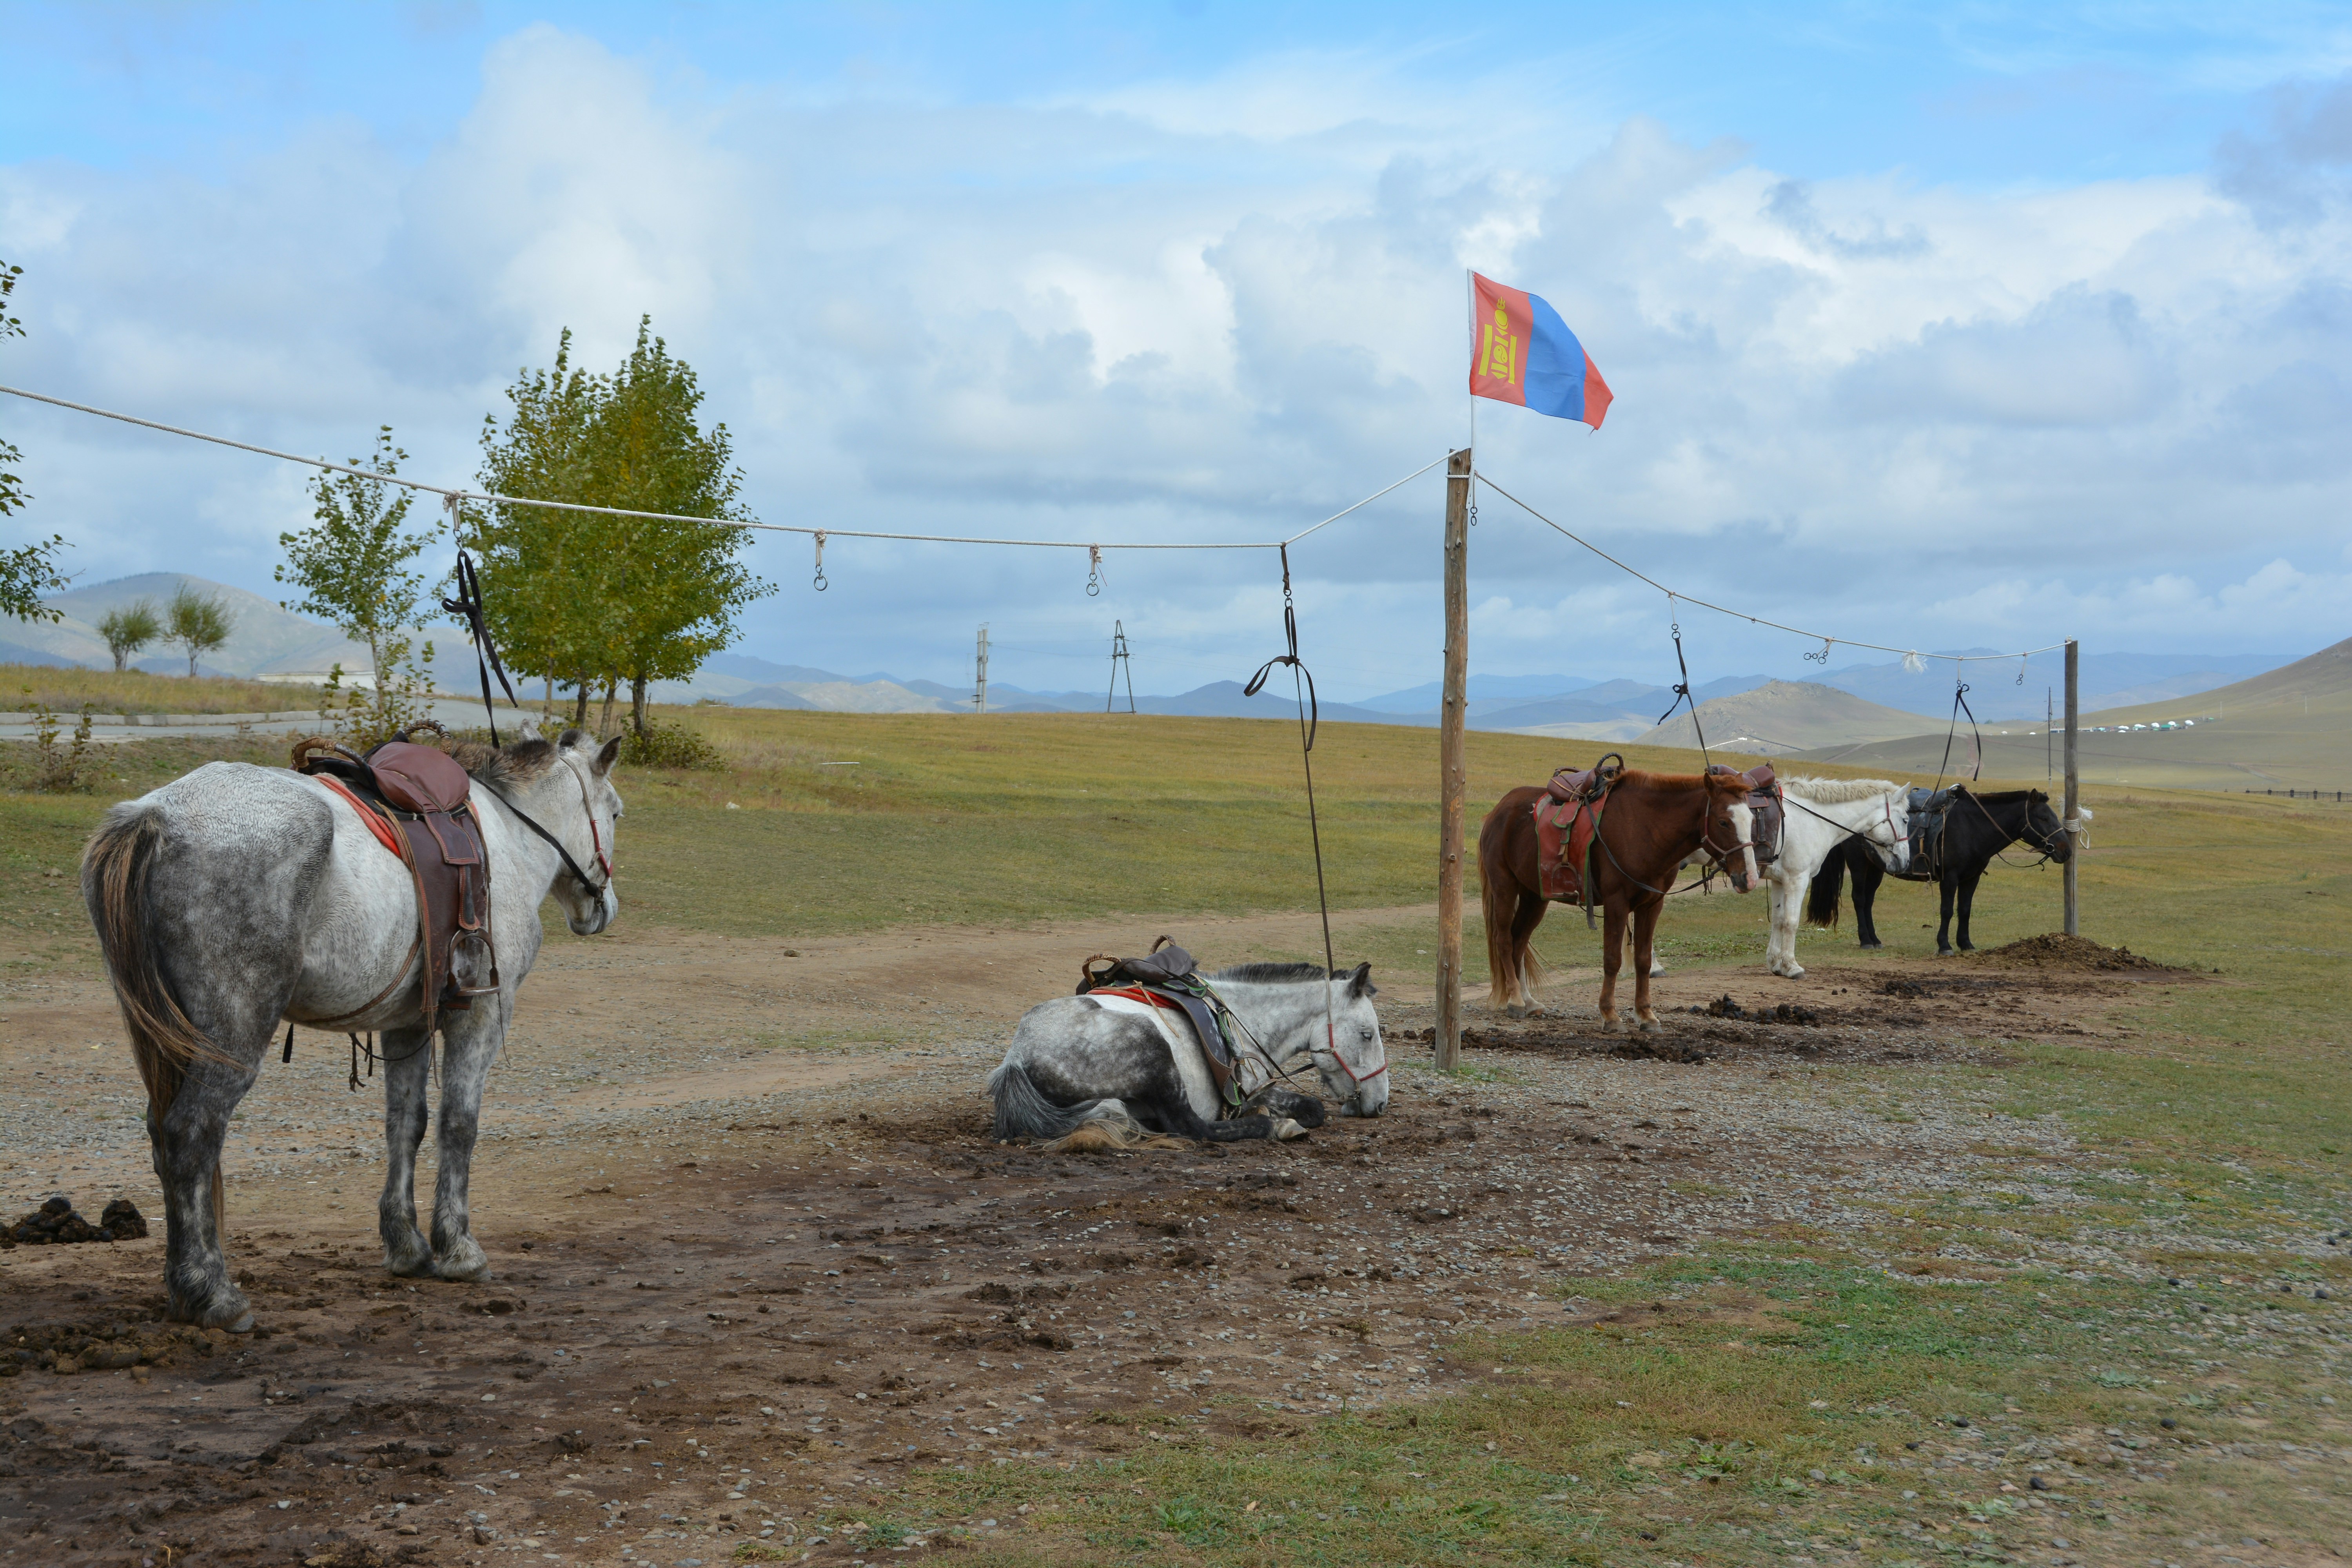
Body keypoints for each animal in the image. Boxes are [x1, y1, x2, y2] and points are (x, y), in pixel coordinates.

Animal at [83, 724, 621, 1326]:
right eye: (615, 813)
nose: (603, 909)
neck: (509, 833)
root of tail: (157, 815)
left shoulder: (408, 1025)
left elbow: (406, 1125)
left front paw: (407, 1244)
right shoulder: (484, 1014)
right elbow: (459, 1125)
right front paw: (459, 1248)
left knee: (162, 1136)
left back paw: (184, 1288)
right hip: (234, 1033)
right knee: (190, 1134)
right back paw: (212, 1291)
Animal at [983, 959, 1383, 1152]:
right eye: (1367, 1034)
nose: (1379, 1105)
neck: (1242, 1015)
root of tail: (1017, 1057)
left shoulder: (1250, 1091)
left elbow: (1310, 1107)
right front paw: (1275, 1121)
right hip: (1153, 1051)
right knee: (1191, 1127)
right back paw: (1266, 1127)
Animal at [1477, 771, 1759, 1029]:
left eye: (1752, 820)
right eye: (1723, 822)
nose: (1750, 878)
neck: (1645, 828)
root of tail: (1499, 810)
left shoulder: (1652, 905)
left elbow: (1643, 961)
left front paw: (1646, 1015)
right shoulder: (1617, 903)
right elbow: (1612, 960)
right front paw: (1610, 1015)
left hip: (1534, 897)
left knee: (1519, 941)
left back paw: (1528, 1001)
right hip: (1505, 887)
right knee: (1504, 940)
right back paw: (1515, 1000)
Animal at [1769, 776, 1910, 982]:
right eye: (1906, 820)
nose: (1906, 860)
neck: (1811, 818)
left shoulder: (1779, 879)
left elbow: (1778, 920)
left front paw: (1776, 964)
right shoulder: (1797, 879)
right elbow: (1791, 922)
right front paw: (1791, 966)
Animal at [1806, 785, 2070, 959]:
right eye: (2043, 817)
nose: (2065, 850)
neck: (1972, 826)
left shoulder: (1972, 878)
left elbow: (1965, 910)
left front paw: (1966, 943)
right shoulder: (1950, 878)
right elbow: (1947, 911)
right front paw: (1945, 946)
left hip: (1877, 868)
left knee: (1869, 901)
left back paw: (1876, 939)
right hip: (1860, 865)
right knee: (1860, 899)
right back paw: (1865, 941)